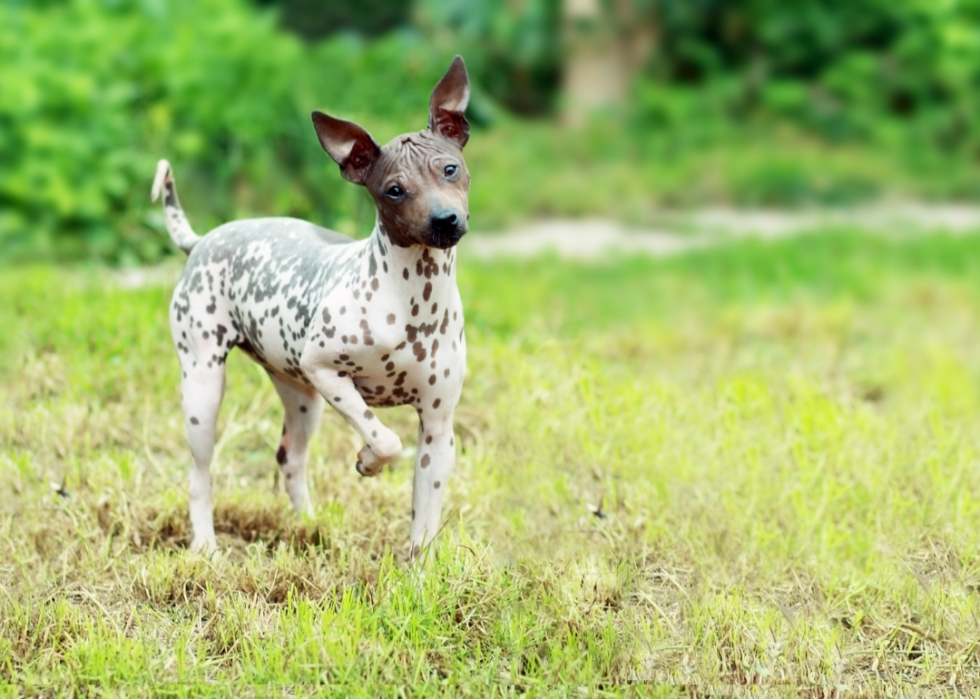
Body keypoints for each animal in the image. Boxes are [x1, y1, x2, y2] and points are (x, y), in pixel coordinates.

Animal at [151, 54, 472, 556]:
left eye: (450, 169)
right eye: (394, 190)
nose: (445, 220)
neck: (413, 301)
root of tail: (202, 239)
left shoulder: (438, 430)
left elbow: (424, 523)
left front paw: (418, 571)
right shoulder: (326, 370)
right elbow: (385, 439)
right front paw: (367, 459)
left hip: (301, 398)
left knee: (290, 458)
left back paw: (310, 525)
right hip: (204, 387)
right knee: (199, 474)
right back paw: (205, 546)